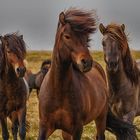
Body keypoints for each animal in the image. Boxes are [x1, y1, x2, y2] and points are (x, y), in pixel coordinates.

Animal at [38, 8, 138, 140]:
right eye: (67, 36)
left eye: (86, 38)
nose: (86, 62)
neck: (59, 89)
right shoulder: (45, 127)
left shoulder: (77, 129)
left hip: (100, 118)